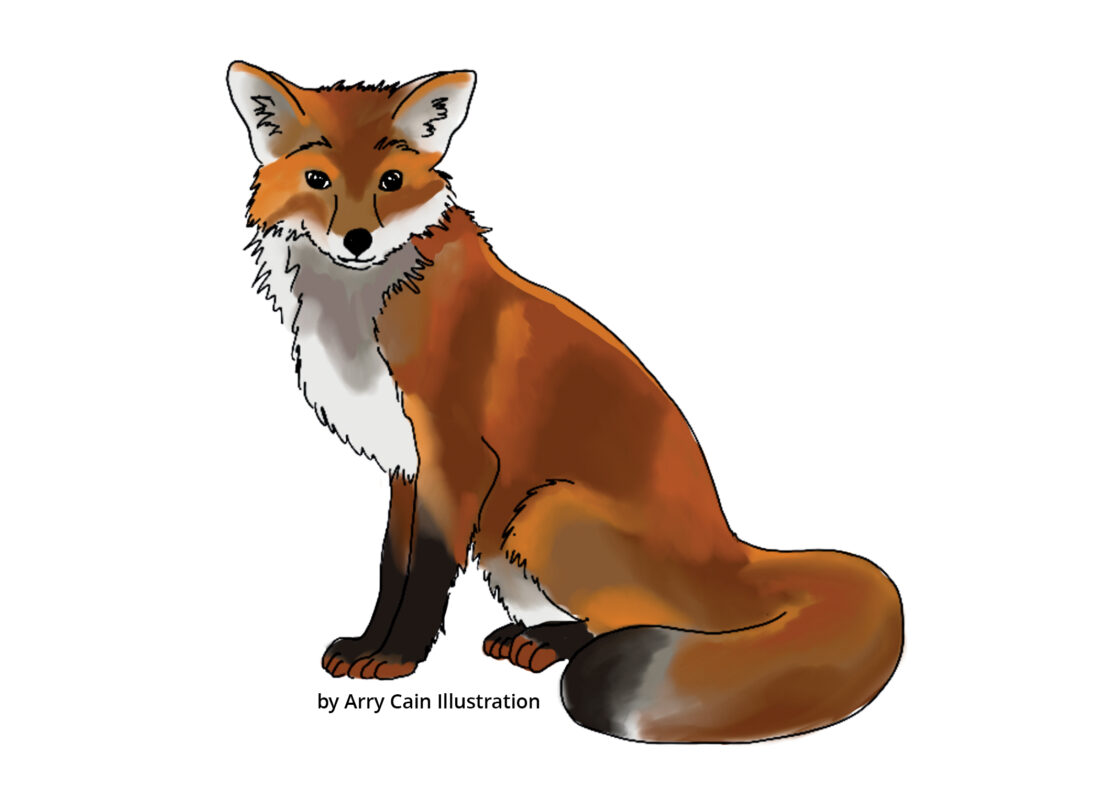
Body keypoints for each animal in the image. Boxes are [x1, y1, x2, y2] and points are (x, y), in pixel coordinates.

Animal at [226, 61, 904, 744]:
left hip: (542, 511)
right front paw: (368, 643)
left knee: (628, 624)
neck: (361, 308)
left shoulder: (456, 456)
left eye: (390, 180)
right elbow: (393, 566)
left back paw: (550, 642)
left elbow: (427, 573)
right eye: (317, 179)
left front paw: (397, 658)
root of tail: (734, 554)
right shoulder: (404, 465)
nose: (358, 240)